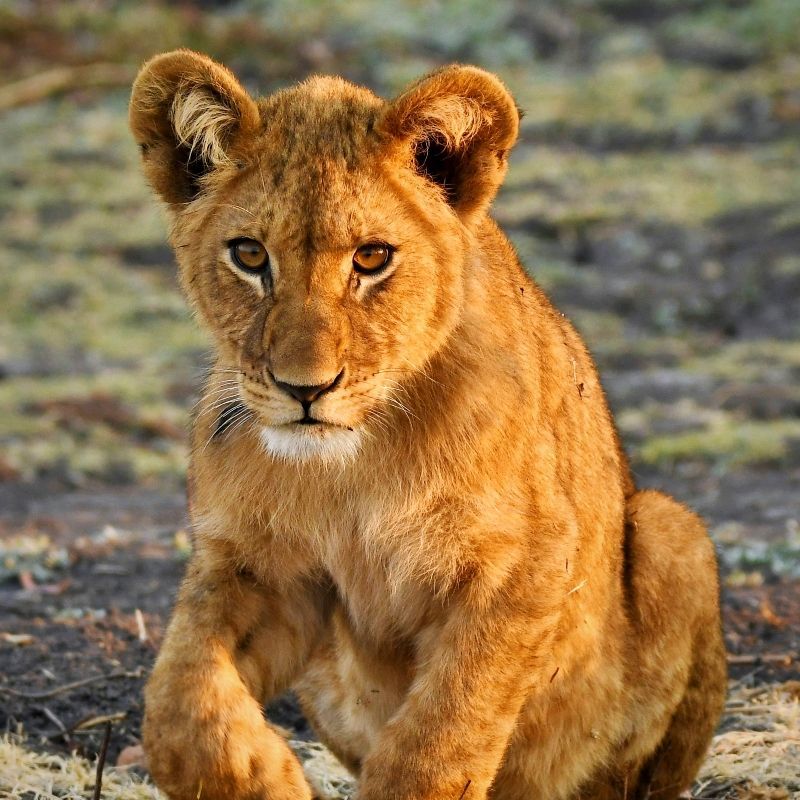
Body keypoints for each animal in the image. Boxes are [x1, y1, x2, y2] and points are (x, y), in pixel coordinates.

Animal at [129, 50, 726, 800]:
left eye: (371, 258)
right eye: (250, 255)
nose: (305, 389)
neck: (351, 469)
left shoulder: (524, 566)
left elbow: (439, 738)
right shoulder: (260, 568)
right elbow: (176, 703)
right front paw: (265, 776)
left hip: (674, 531)